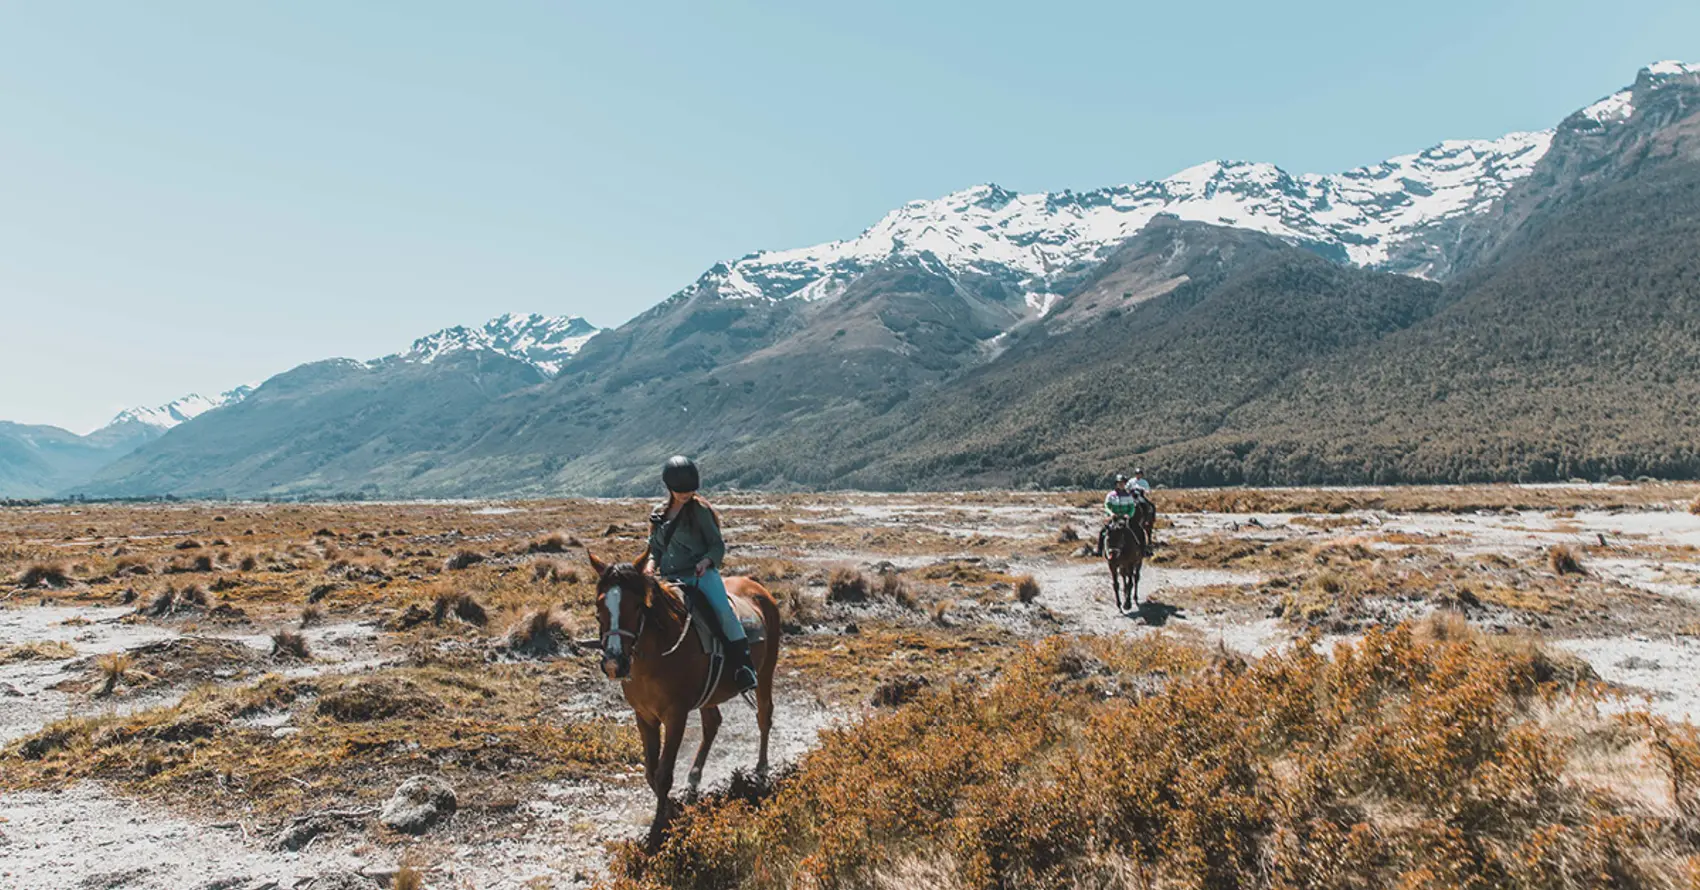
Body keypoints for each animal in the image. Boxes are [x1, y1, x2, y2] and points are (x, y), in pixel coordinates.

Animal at [588, 553, 778, 852]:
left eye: (636, 605)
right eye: (599, 604)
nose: (613, 663)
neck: (655, 655)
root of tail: (759, 589)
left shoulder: (675, 715)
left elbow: (664, 773)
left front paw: (659, 829)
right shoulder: (644, 716)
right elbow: (651, 772)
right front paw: (672, 809)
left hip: (767, 670)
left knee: (764, 717)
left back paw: (760, 770)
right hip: (710, 694)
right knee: (712, 724)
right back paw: (694, 779)